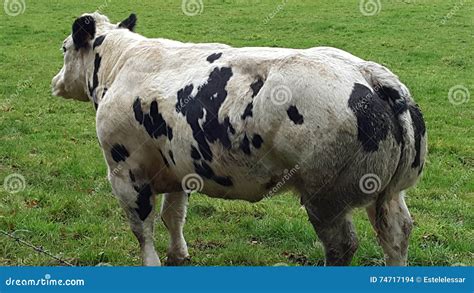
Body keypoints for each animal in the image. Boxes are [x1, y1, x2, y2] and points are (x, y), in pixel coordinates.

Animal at [51, 12, 426, 266]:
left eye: (64, 48)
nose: (55, 82)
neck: (121, 65)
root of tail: (367, 73)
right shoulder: (177, 167)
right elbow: (174, 216)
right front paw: (178, 255)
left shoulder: (125, 172)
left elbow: (142, 228)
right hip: (389, 193)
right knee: (397, 234)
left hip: (325, 197)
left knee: (342, 246)